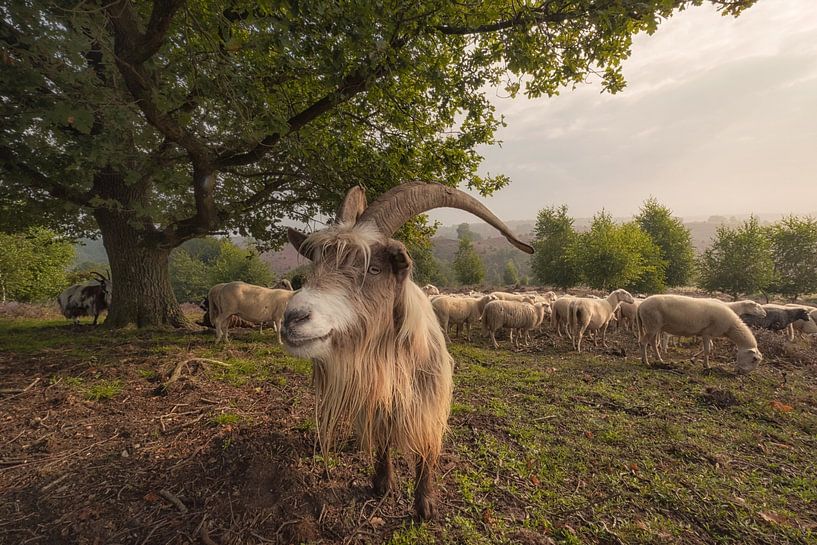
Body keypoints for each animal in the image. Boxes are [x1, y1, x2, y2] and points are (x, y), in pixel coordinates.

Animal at [281, 182, 533, 520]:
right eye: (316, 264)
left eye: (374, 269)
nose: (293, 318)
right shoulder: (377, 402)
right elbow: (382, 442)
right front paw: (382, 483)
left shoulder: (430, 404)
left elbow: (426, 450)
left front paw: (425, 505)